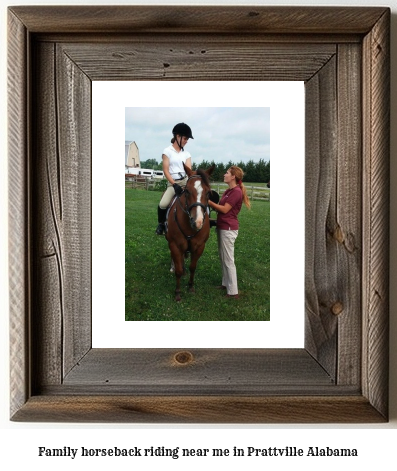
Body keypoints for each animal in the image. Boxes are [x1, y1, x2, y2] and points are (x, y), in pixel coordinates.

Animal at [166, 162, 215, 302]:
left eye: (208, 193)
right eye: (187, 191)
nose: (197, 222)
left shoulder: (199, 246)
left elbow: (193, 267)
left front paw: (191, 287)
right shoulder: (175, 245)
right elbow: (178, 270)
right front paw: (177, 292)